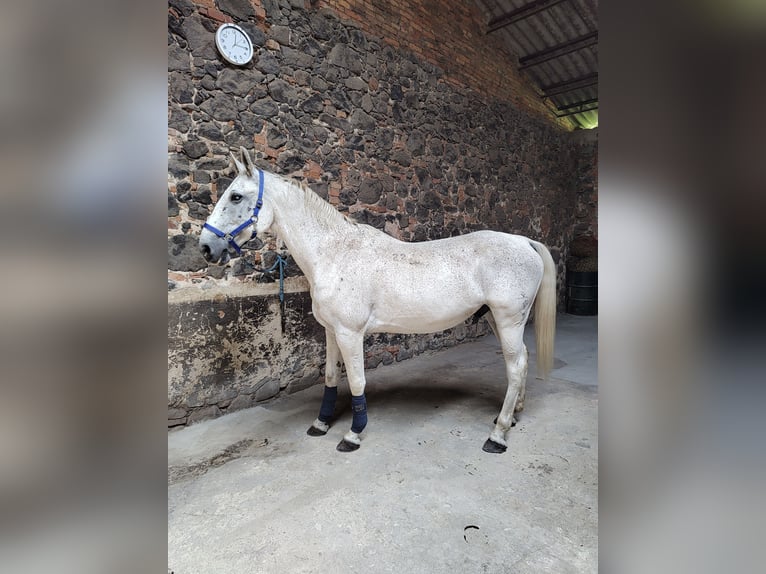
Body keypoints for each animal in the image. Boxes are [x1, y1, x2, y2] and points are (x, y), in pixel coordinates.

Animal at [200, 147, 560, 454]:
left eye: (235, 196)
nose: (205, 248)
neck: (335, 253)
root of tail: (524, 241)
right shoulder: (331, 331)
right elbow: (330, 376)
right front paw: (321, 423)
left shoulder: (350, 333)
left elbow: (357, 380)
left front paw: (353, 434)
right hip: (495, 319)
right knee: (522, 360)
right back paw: (512, 415)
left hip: (509, 320)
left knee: (516, 366)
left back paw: (498, 435)